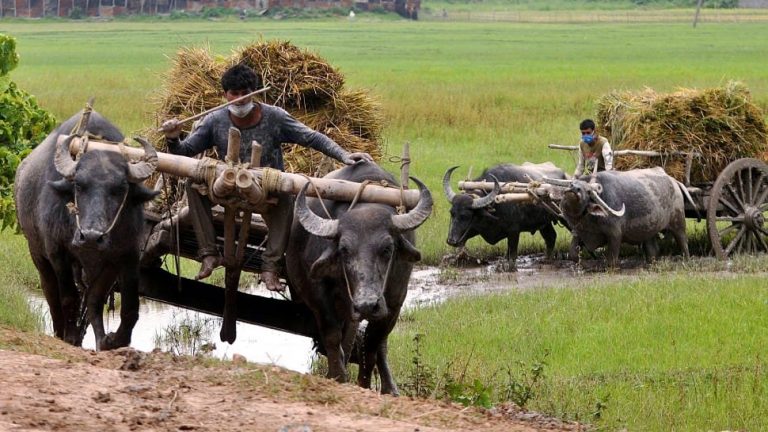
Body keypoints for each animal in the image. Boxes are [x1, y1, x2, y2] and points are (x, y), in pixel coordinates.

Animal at [14, 109, 159, 350]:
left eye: (120, 188)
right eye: (79, 185)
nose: (91, 237)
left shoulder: (127, 256)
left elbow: (130, 307)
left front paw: (114, 340)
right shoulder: (58, 253)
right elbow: (68, 298)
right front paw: (71, 336)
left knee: (93, 300)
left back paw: (100, 338)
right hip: (38, 254)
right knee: (51, 293)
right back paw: (60, 331)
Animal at [286, 163, 432, 394]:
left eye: (387, 248)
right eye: (344, 250)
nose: (366, 305)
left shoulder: (395, 300)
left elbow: (372, 342)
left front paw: (364, 383)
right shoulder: (318, 294)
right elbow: (332, 335)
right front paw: (337, 376)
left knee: (378, 345)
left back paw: (390, 388)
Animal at [440, 163, 568, 270]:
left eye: (466, 216)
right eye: (452, 212)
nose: (451, 240)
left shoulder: (514, 232)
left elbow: (512, 255)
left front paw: (511, 268)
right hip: (545, 223)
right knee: (551, 237)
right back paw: (547, 260)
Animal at [560, 166, 688, 264]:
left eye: (587, 191)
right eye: (572, 184)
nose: (574, 189)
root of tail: (674, 181)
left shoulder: (615, 234)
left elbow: (611, 260)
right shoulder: (579, 233)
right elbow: (572, 255)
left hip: (679, 222)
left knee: (683, 243)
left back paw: (685, 260)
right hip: (649, 230)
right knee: (653, 250)